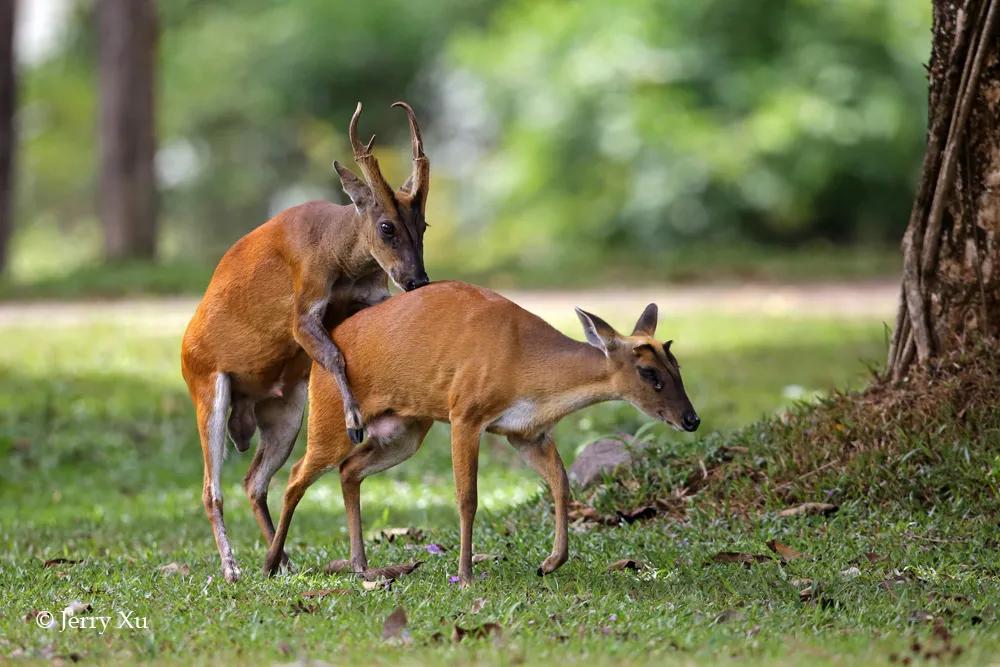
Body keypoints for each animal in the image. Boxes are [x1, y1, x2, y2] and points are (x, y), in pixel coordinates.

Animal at [181, 102, 430, 580]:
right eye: (386, 227)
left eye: (423, 224)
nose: (417, 280)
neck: (338, 252)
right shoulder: (303, 307)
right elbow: (333, 356)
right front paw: (354, 421)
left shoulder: (368, 296)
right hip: (208, 387)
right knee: (210, 488)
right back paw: (232, 568)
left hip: (286, 409)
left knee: (254, 480)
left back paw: (282, 562)